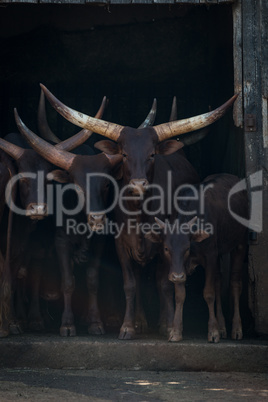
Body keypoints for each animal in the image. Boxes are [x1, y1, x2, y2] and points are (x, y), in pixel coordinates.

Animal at [39, 85, 237, 340]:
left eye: (152, 155)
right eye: (124, 155)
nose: (139, 184)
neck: (139, 214)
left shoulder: (165, 242)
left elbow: (164, 283)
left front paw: (168, 325)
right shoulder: (121, 244)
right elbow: (130, 284)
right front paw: (127, 326)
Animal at [146, 173, 248, 342]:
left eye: (187, 248)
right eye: (166, 248)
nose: (176, 276)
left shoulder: (211, 255)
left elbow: (209, 293)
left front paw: (213, 331)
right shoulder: (180, 267)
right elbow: (180, 295)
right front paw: (176, 331)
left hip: (239, 243)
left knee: (235, 283)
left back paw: (236, 328)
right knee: (219, 282)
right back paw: (222, 326)